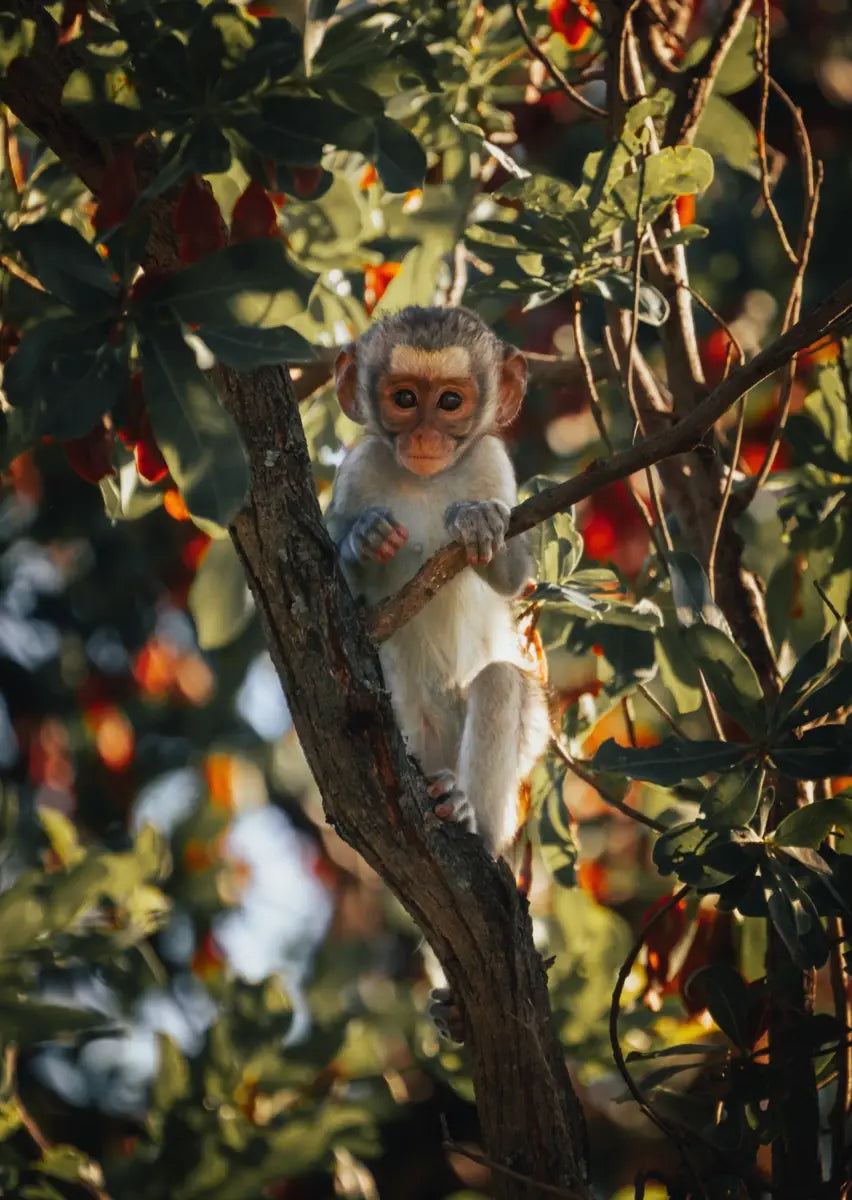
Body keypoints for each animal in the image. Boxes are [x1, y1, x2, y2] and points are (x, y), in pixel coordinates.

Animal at [325, 305, 550, 857]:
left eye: (450, 401)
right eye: (405, 399)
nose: (425, 437)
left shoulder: (493, 463)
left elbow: (513, 579)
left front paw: (477, 521)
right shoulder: (357, 469)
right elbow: (339, 584)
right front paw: (364, 539)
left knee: (500, 681)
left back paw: (467, 812)